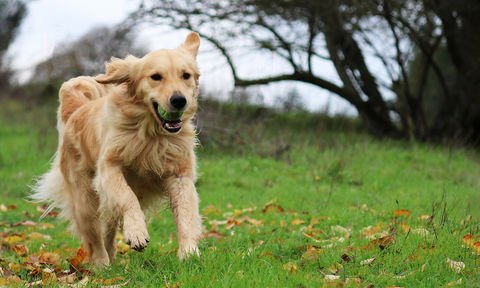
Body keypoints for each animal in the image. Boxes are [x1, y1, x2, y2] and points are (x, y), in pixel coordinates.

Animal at [31, 32, 203, 266]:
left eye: (186, 75)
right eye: (156, 77)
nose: (179, 100)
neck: (151, 134)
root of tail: (76, 111)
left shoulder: (180, 175)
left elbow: (185, 213)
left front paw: (188, 252)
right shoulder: (109, 170)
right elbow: (128, 197)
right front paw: (137, 233)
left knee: (108, 228)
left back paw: (112, 256)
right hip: (85, 199)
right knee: (94, 237)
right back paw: (102, 265)